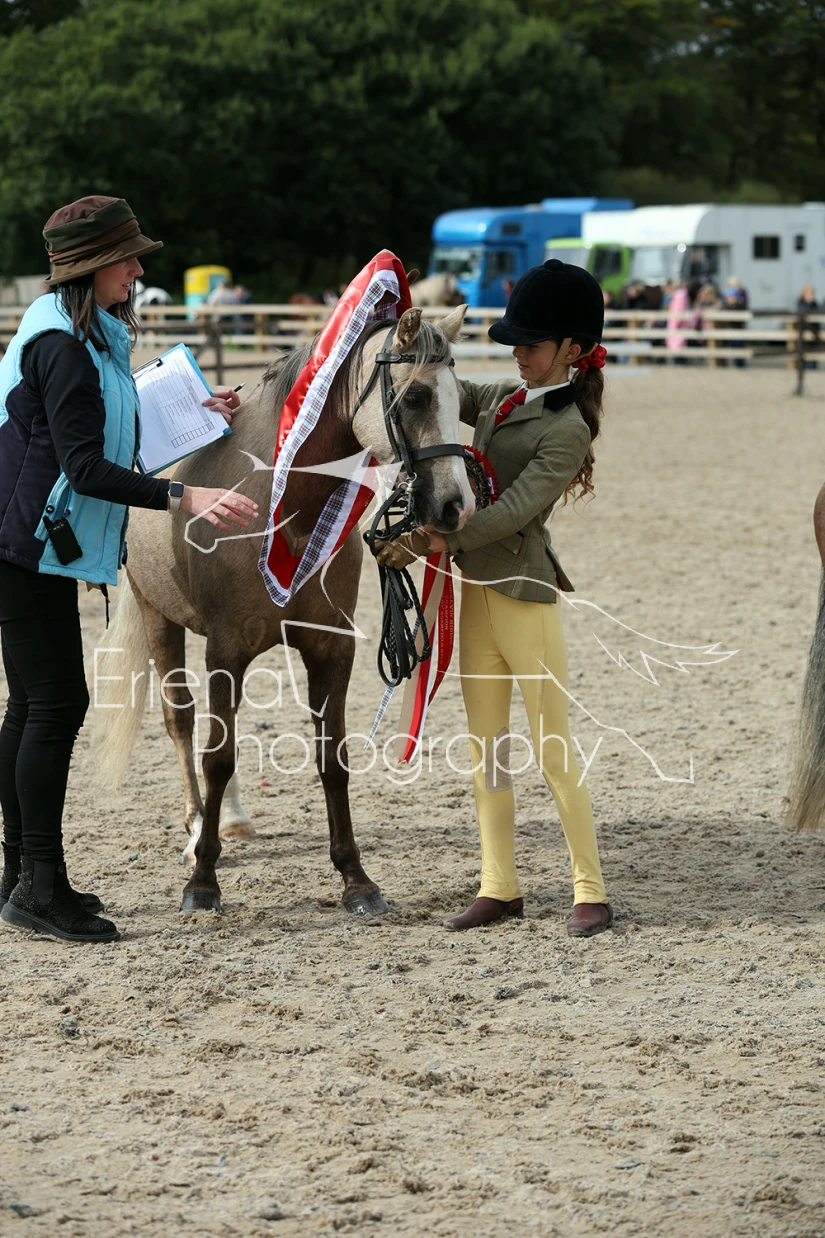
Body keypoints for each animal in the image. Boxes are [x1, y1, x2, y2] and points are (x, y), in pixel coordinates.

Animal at [94, 304, 472, 915]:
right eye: (415, 397)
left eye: (460, 398)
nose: (456, 505)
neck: (284, 507)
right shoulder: (225, 650)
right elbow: (217, 757)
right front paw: (203, 881)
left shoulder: (329, 648)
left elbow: (332, 759)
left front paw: (355, 879)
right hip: (159, 619)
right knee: (183, 723)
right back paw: (197, 830)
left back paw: (231, 819)